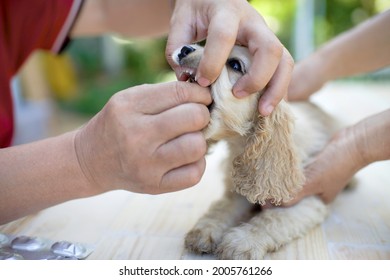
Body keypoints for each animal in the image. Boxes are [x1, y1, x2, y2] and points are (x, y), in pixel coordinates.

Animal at [174, 44, 338, 260]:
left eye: (235, 65)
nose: (185, 48)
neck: (240, 144)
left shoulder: (304, 199)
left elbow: (271, 220)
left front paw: (240, 242)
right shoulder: (238, 193)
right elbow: (223, 208)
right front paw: (204, 230)